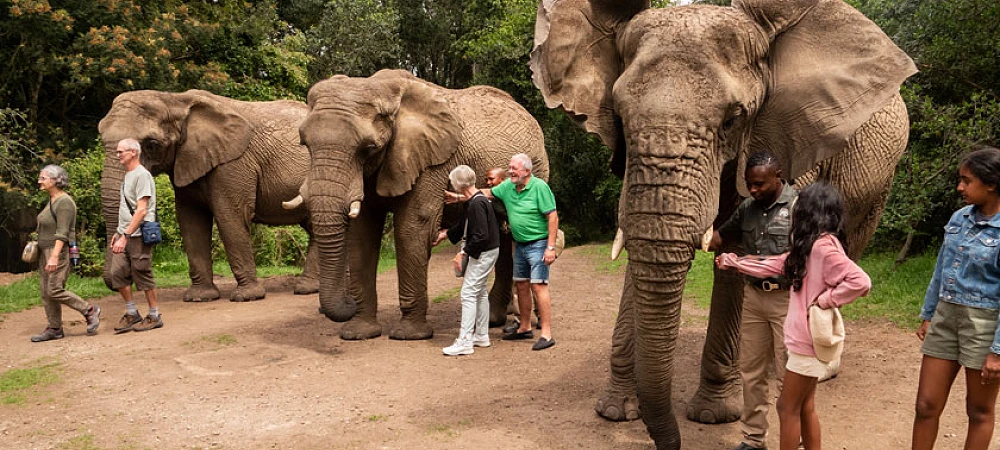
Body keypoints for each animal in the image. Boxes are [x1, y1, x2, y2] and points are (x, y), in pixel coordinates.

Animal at [98, 90, 320, 302]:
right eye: (101, 138)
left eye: (151, 144)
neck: (175, 100)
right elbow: (191, 221)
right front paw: (199, 297)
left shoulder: (233, 163)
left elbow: (230, 217)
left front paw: (247, 297)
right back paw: (308, 287)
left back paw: (306, 289)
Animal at [296, 69, 548, 341]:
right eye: (304, 144)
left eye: (368, 148)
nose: (341, 303)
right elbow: (362, 234)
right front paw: (358, 333)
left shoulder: (431, 163)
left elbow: (412, 229)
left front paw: (408, 335)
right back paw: (494, 320)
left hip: (538, 167)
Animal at [530, 0, 916, 448]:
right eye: (620, 118)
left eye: (733, 120)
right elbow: (640, 244)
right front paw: (615, 410)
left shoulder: (789, 137)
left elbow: (740, 247)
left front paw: (714, 415)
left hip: (876, 180)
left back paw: (814, 369)